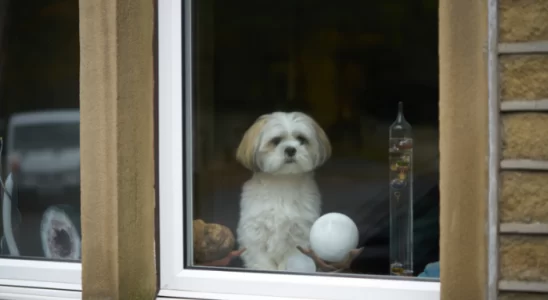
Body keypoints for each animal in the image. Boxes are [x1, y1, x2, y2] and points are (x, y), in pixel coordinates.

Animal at [234, 111, 330, 270]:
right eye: (276, 141)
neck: (283, 181)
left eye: (301, 139)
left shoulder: (299, 235)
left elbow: (291, 260)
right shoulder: (255, 234)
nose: (290, 149)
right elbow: (261, 262)